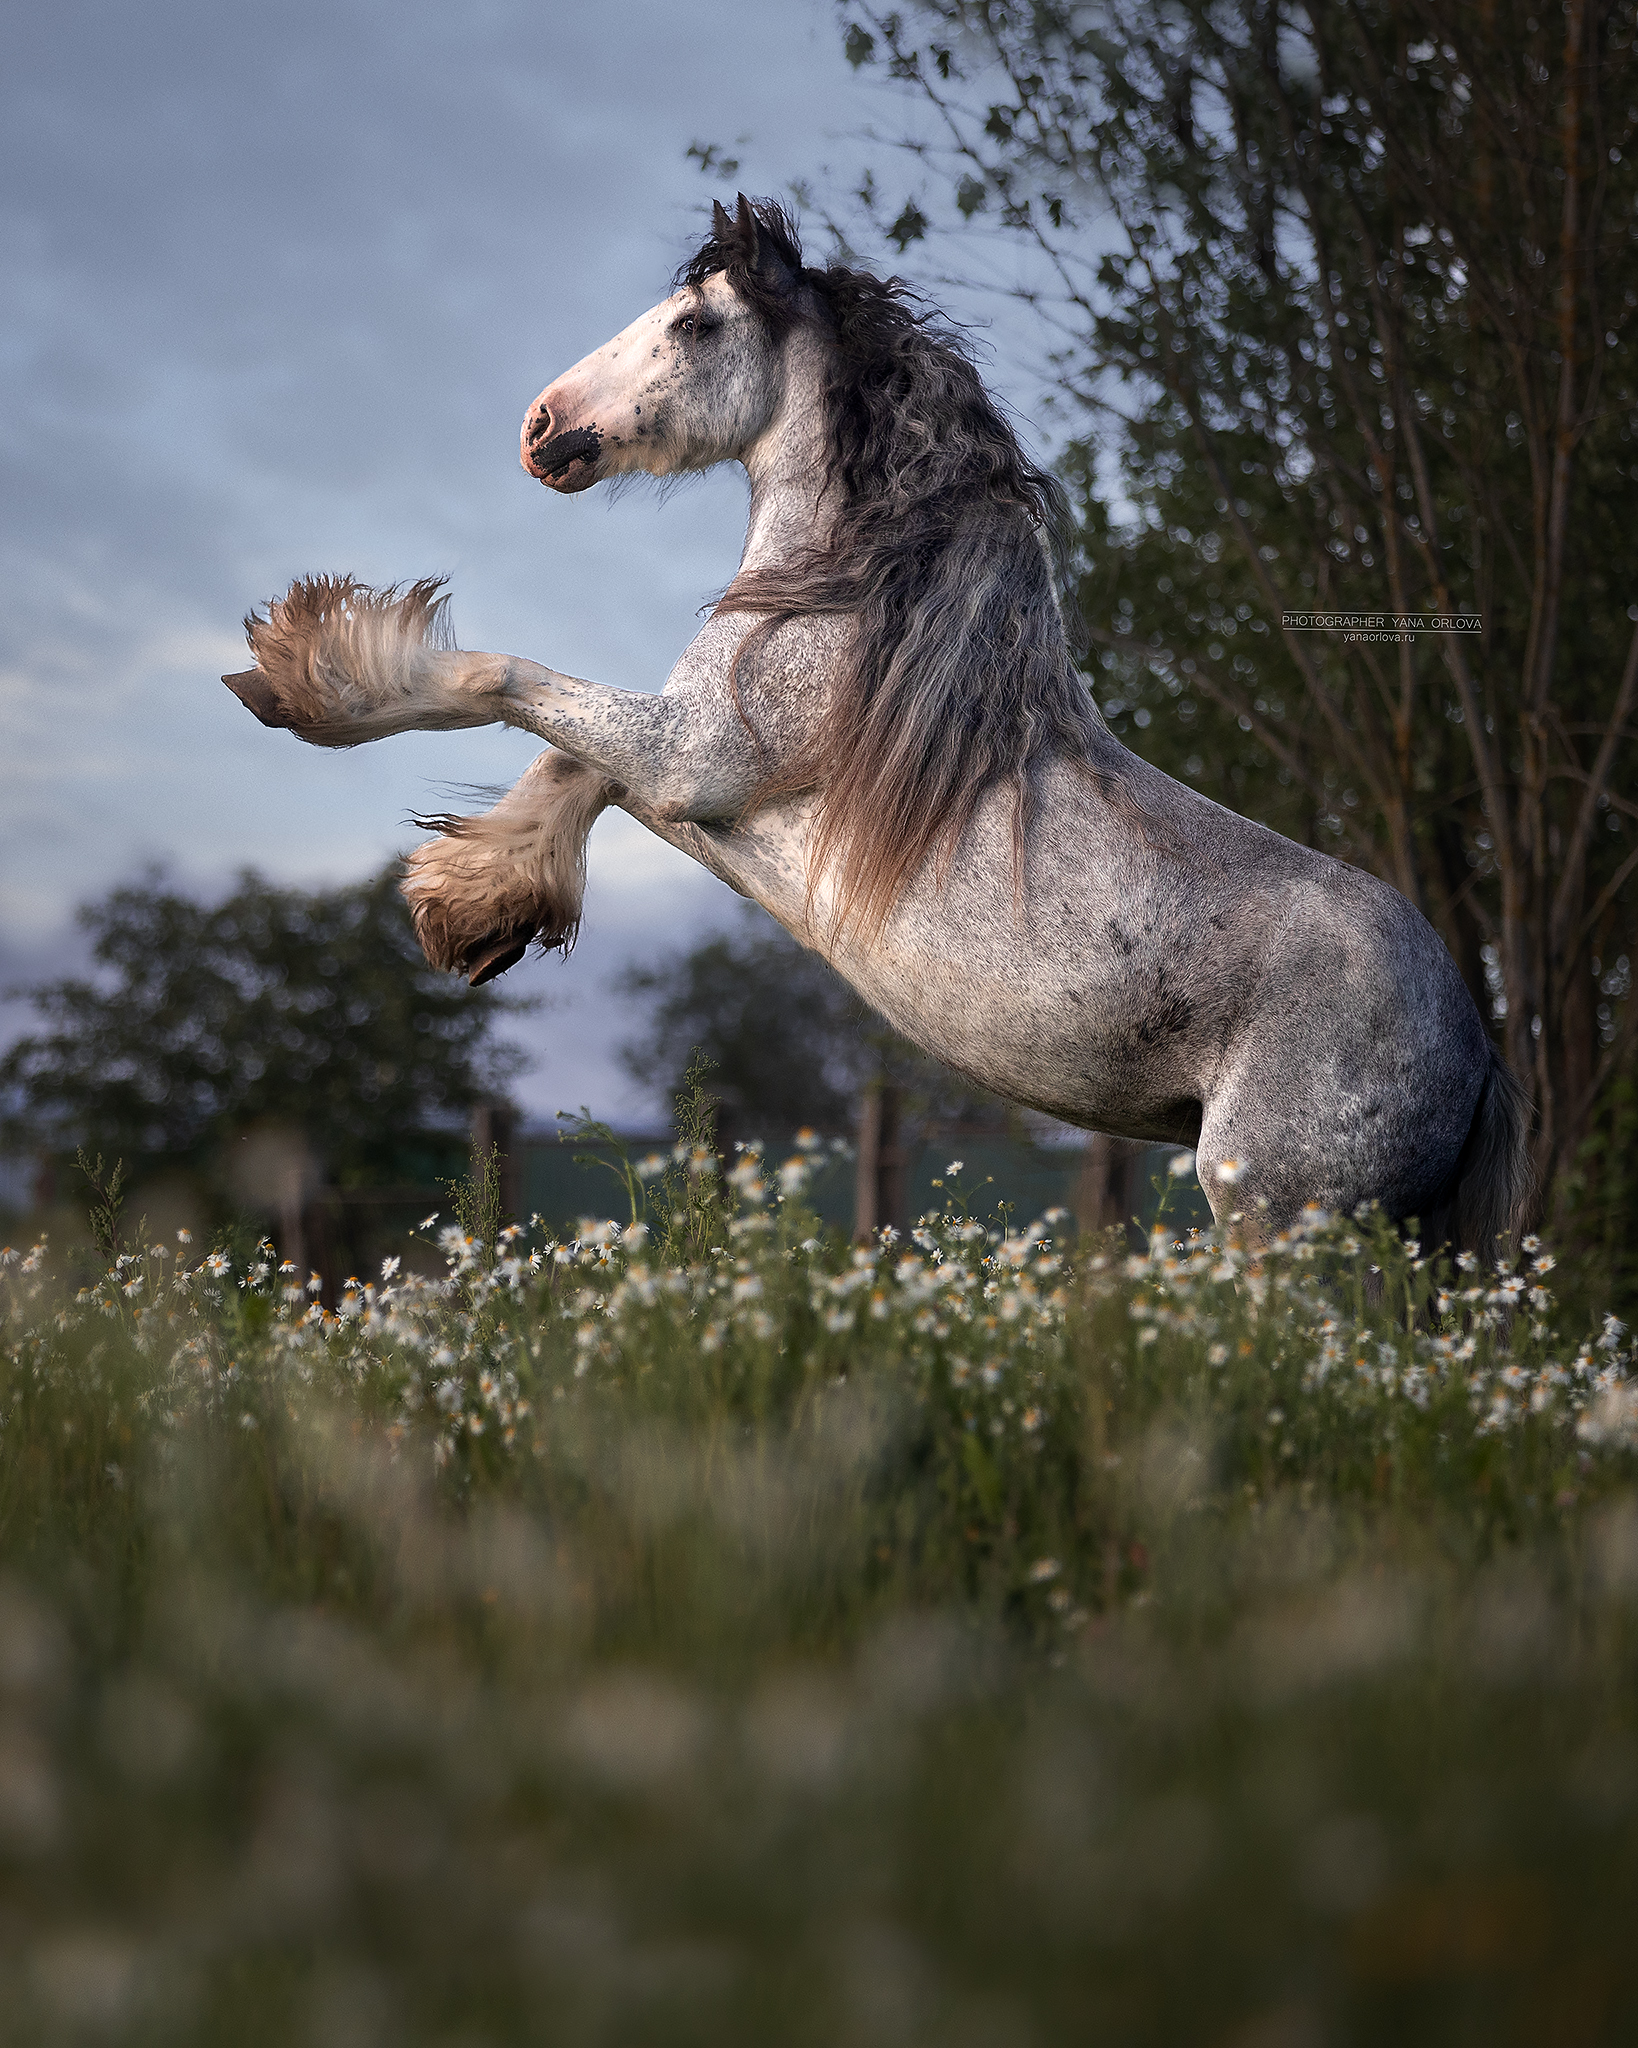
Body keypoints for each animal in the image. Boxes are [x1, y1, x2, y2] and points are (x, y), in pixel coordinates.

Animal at [224, 195, 1531, 1245]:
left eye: (695, 326)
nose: (543, 427)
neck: (848, 604)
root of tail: (1479, 1051)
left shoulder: (695, 757)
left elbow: (506, 683)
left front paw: (311, 676)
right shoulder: (685, 776)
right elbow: (564, 759)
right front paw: (477, 907)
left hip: (1281, 1221)